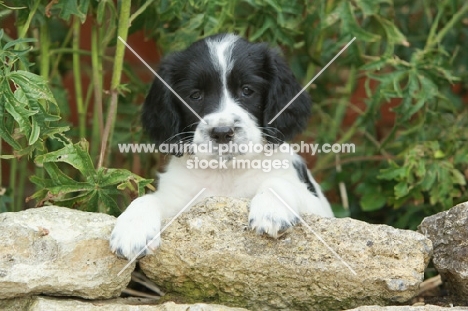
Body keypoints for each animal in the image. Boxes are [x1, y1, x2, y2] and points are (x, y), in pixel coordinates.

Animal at [109, 33, 332, 260]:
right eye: (195, 95)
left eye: (247, 90)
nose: (222, 132)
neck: (226, 173)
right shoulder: (179, 199)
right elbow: (147, 199)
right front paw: (133, 229)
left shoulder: (317, 207)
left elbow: (279, 182)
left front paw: (271, 209)